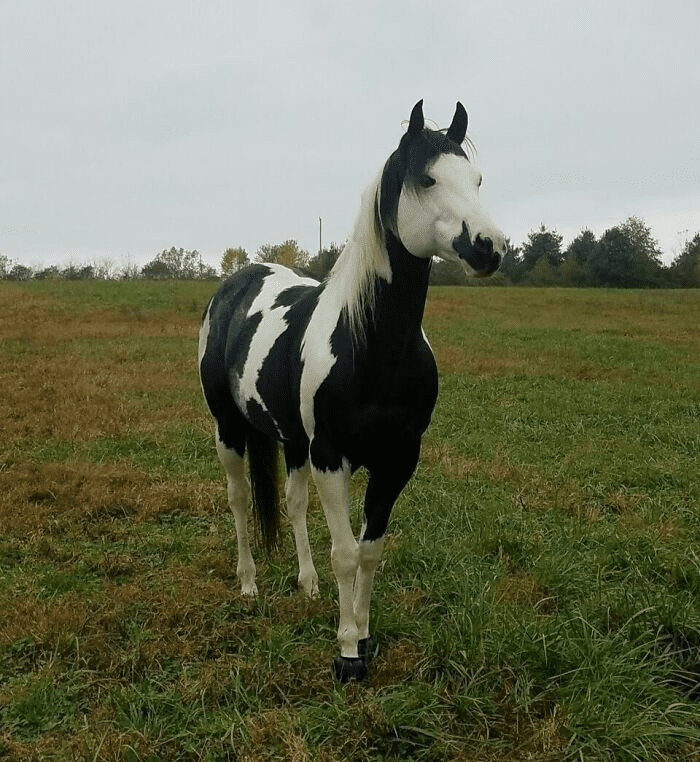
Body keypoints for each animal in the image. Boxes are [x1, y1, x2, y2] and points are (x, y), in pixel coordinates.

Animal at [200, 99, 506, 676]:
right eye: (427, 179)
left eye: (477, 179)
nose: (490, 247)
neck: (372, 348)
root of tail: (237, 281)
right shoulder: (331, 457)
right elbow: (344, 552)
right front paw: (345, 653)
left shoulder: (397, 459)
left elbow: (368, 551)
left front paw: (362, 635)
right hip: (229, 428)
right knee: (239, 499)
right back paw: (248, 584)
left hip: (293, 442)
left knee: (293, 505)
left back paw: (307, 584)